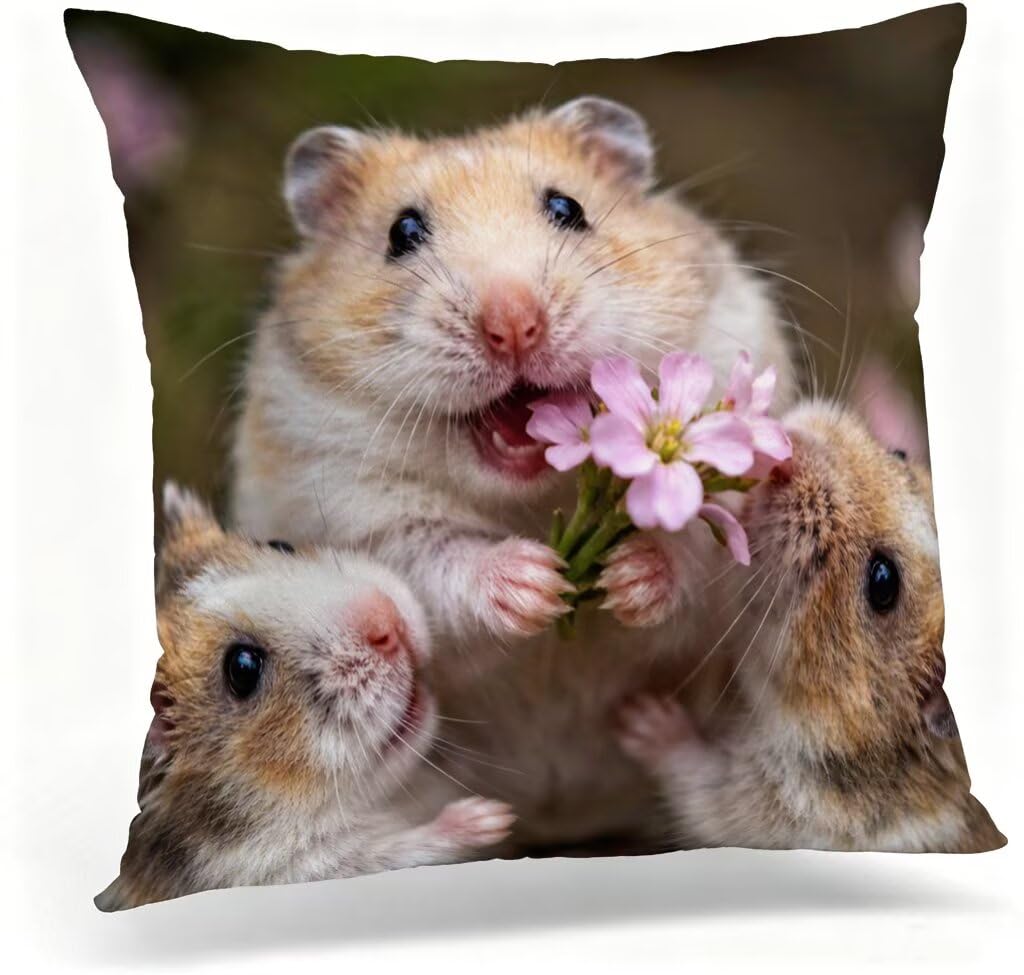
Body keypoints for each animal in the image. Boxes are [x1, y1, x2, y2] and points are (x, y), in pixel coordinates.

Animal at [97, 484, 514, 911]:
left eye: (279, 545)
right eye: (242, 668)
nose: (390, 624)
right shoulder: (299, 867)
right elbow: (400, 852)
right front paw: (492, 817)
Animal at [230, 96, 795, 848]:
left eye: (567, 207)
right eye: (402, 232)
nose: (513, 324)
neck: (538, 495)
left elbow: (693, 555)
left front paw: (625, 580)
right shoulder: (349, 511)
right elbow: (438, 566)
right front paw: (540, 582)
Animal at [616, 403, 1004, 853]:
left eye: (883, 581)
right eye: (900, 453)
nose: (785, 455)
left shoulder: (772, 802)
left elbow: (698, 780)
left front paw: (639, 717)